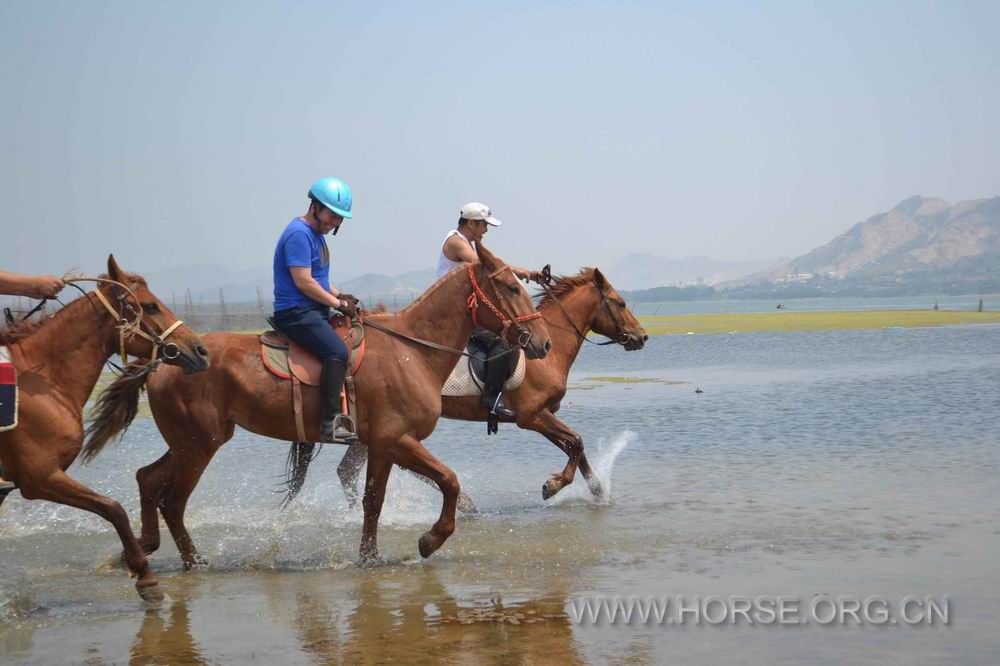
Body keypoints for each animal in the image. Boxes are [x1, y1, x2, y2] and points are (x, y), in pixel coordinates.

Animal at [0, 255, 209, 601]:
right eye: (150, 306)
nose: (201, 351)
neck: (40, 384)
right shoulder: (39, 478)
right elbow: (114, 509)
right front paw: (146, 578)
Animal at [82, 244, 551, 567]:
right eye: (511, 287)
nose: (544, 343)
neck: (411, 351)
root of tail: (166, 359)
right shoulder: (398, 440)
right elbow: (449, 481)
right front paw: (429, 540)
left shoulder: (382, 446)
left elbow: (373, 502)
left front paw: (370, 558)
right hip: (199, 446)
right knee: (173, 501)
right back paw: (193, 561)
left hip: (187, 442)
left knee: (147, 479)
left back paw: (142, 548)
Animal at [304, 267, 648, 507]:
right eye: (621, 303)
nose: (642, 336)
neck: (549, 347)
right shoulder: (532, 416)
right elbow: (575, 442)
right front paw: (552, 487)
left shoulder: (544, 414)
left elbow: (576, 445)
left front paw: (597, 491)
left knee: (350, 470)